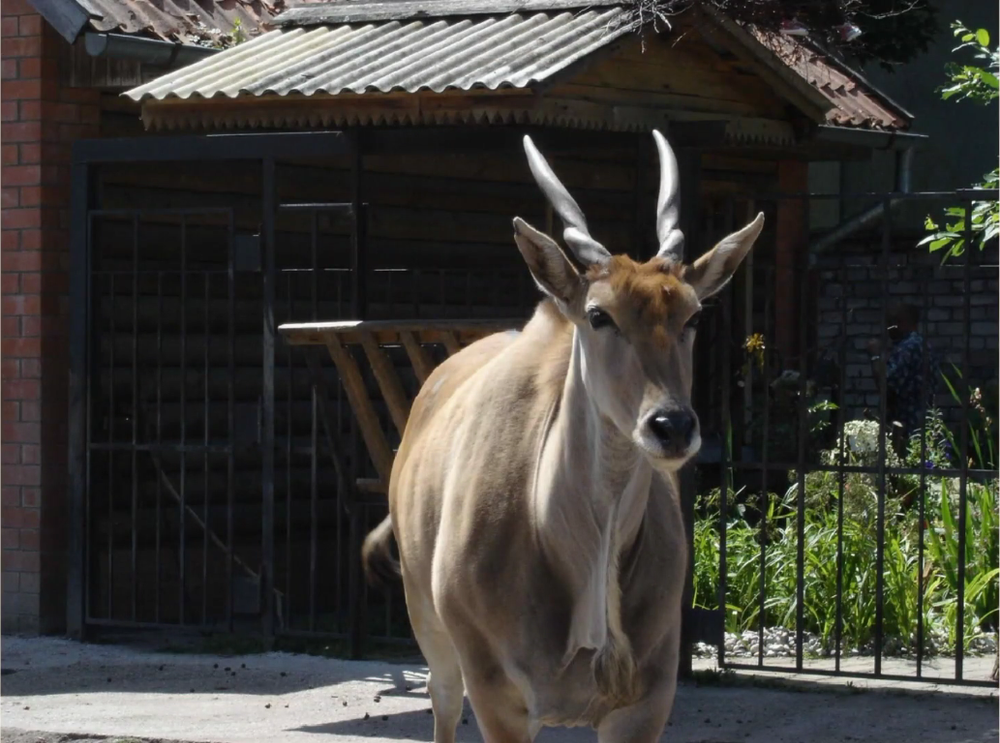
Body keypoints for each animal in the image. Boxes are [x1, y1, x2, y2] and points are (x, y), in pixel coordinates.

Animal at [368, 132, 764, 743]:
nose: (671, 425)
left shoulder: (644, 703)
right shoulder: (498, 697)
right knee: (441, 700)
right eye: (599, 315)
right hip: (428, 623)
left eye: (694, 316)